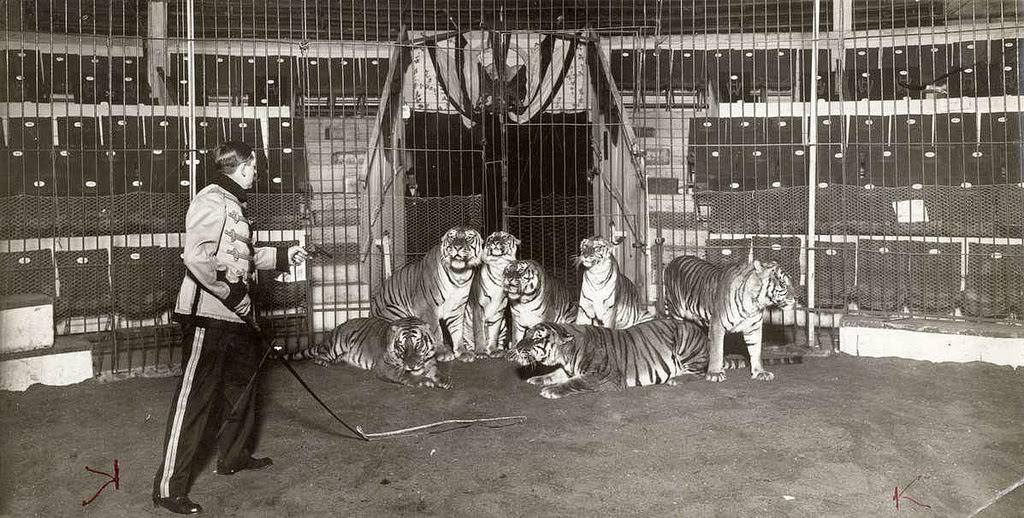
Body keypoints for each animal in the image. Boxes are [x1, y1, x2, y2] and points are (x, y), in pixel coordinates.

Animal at [286, 315, 450, 389]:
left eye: (418, 344)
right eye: (402, 347)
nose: (412, 365)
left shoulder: (430, 361)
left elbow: (436, 371)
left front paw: (444, 380)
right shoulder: (385, 366)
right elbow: (404, 374)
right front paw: (422, 381)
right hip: (336, 345)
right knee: (319, 356)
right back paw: (325, 362)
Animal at [372, 224, 483, 362]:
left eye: (468, 238)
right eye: (451, 237)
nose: (457, 247)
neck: (459, 274)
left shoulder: (457, 308)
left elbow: (458, 330)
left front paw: (462, 351)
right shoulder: (427, 306)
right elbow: (436, 330)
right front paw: (442, 352)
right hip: (397, 312)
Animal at [468, 231, 524, 360]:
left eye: (504, 237)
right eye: (491, 238)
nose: (495, 242)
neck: (499, 267)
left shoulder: (499, 309)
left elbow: (494, 332)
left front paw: (493, 350)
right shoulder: (478, 307)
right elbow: (479, 332)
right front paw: (480, 352)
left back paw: (500, 350)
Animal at [505, 319, 708, 401]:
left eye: (537, 338)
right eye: (526, 333)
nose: (517, 347)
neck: (565, 354)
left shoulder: (603, 376)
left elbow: (574, 382)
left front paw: (551, 391)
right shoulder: (565, 369)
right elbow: (555, 374)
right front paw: (536, 379)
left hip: (685, 341)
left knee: (699, 372)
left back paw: (676, 379)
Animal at [663, 252, 798, 382]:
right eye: (783, 283)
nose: (797, 297)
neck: (755, 303)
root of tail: (673, 261)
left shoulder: (753, 328)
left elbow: (756, 351)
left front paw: (760, 372)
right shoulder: (717, 325)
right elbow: (717, 350)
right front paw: (715, 373)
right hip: (675, 311)